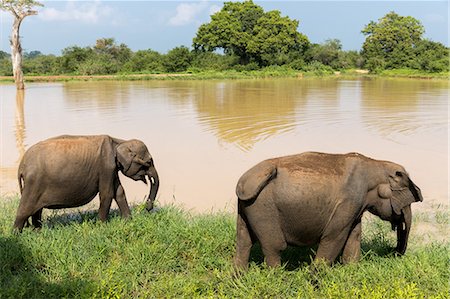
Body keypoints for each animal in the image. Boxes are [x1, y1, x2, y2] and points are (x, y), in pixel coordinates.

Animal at [13, 136, 160, 232]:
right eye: (148, 162)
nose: (148, 208)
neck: (120, 141)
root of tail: (21, 166)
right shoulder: (106, 166)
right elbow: (107, 194)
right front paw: (101, 226)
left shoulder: (112, 169)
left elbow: (119, 192)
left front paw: (128, 221)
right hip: (33, 183)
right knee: (24, 211)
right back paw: (17, 235)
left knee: (36, 211)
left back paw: (38, 231)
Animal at [234, 152, 424, 270]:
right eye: (407, 202)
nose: (393, 252)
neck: (376, 165)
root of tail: (244, 182)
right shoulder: (348, 202)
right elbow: (335, 237)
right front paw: (315, 279)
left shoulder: (356, 206)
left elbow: (354, 236)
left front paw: (351, 270)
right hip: (263, 209)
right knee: (274, 247)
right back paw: (278, 277)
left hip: (247, 208)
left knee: (243, 241)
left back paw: (238, 278)